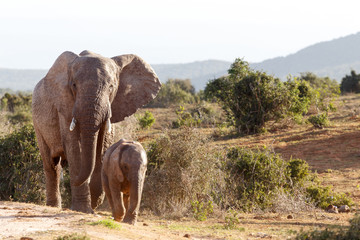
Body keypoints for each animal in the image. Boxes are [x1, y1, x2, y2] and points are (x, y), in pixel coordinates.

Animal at [32, 50, 160, 212]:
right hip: (37, 124)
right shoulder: (65, 105)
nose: (72, 181)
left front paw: (94, 203)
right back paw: (53, 206)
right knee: (51, 164)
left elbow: (103, 145)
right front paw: (83, 209)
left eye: (111, 87)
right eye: (74, 85)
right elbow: (74, 147)